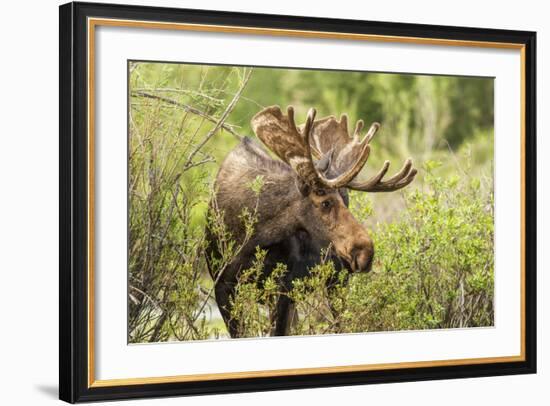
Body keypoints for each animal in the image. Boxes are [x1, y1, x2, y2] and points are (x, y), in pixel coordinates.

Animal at [207, 106, 418, 338]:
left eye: (345, 200)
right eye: (325, 202)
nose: (365, 252)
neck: (252, 236)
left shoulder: (284, 288)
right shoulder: (222, 286)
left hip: (337, 282)